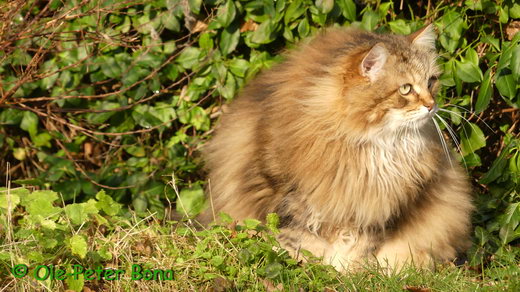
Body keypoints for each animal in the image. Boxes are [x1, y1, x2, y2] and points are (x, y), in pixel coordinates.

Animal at [199, 24, 476, 272]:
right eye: (406, 89)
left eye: (431, 82)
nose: (432, 105)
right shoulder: (286, 191)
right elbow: (297, 236)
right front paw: (308, 264)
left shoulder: (380, 204)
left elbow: (358, 244)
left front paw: (347, 270)